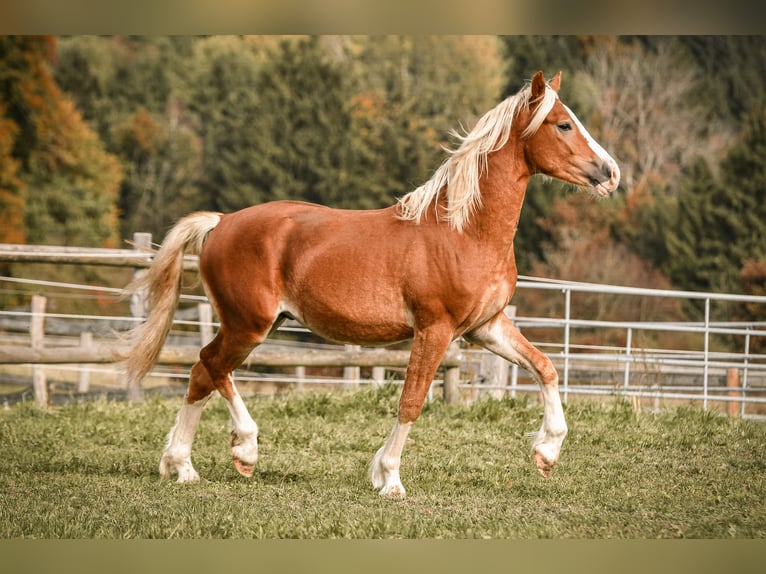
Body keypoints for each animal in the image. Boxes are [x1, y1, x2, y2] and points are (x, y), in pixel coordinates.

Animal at [124, 71, 620, 498]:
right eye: (563, 124)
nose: (610, 173)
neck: (463, 231)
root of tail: (222, 221)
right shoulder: (435, 329)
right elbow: (411, 402)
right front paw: (390, 479)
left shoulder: (486, 327)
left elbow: (546, 368)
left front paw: (547, 453)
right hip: (249, 324)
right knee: (209, 367)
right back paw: (226, 454)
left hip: (261, 324)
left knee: (205, 371)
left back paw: (193, 463)